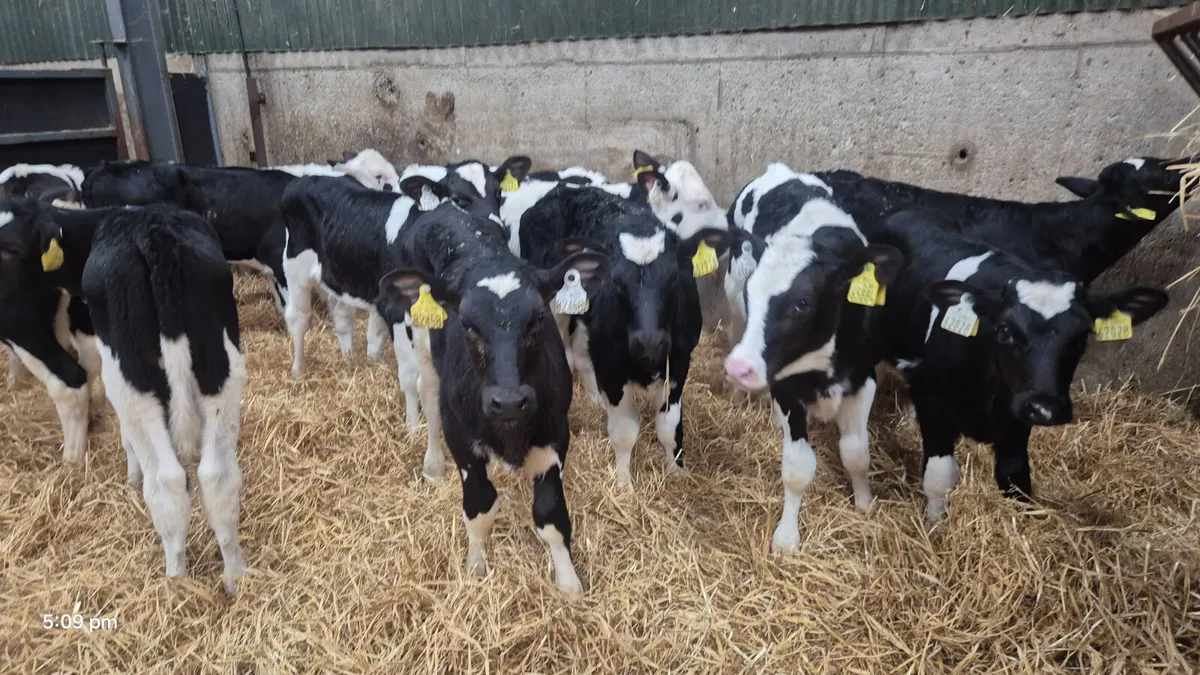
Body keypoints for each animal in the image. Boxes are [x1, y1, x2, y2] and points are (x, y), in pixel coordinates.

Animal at [4, 199, 248, 593]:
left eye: (9, 248)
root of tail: (155, 234)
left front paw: (131, 473)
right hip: (220, 366)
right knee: (217, 476)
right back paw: (235, 579)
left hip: (130, 378)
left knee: (166, 480)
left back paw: (175, 581)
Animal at [378, 195, 610, 595]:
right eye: (467, 324)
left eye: (537, 318)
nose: (509, 401)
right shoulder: (462, 441)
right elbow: (480, 507)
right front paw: (475, 565)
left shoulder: (555, 434)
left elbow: (550, 515)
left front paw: (568, 581)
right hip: (421, 335)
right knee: (427, 393)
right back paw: (432, 463)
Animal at [513, 175, 729, 488]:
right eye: (616, 281)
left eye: (674, 278)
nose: (649, 341)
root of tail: (562, 190)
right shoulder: (611, 367)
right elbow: (624, 431)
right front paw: (624, 483)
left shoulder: (679, 361)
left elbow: (669, 426)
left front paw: (676, 472)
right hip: (557, 307)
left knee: (582, 356)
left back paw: (595, 400)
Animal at [721, 164, 904, 552]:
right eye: (752, 293)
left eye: (802, 303)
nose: (738, 368)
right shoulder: (788, 386)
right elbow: (797, 467)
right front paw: (787, 537)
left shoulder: (863, 377)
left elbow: (856, 452)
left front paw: (864, 503)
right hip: (733, 287)